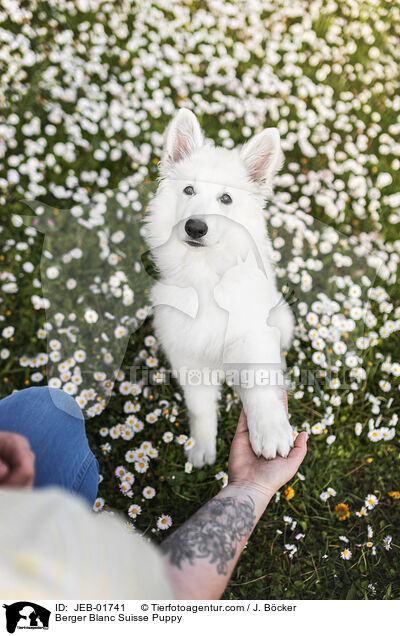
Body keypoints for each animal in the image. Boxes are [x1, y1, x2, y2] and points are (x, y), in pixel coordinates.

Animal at [145, 108, 296, 468]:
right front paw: (202, 446)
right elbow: (200, 407)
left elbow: (259, 383)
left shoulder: (253, 334)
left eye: (226, 198)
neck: (206, 277)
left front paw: (270, 432)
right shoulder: (186, 353)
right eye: (188, 190)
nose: (195, 227)